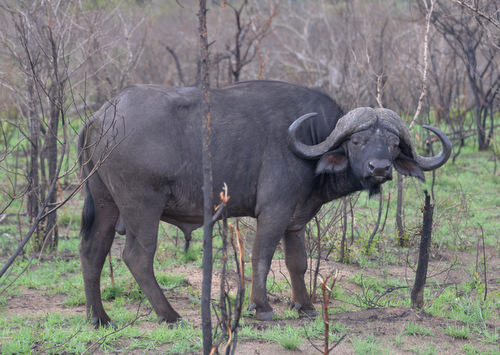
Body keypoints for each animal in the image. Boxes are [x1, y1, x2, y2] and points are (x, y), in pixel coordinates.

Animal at [79, 80, 454, 328]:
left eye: (393, 144)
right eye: (358, 140)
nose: (379, 169)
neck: (311, 142)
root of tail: (102, 116)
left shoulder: (296, 220)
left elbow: (297, 263)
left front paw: (305, 306)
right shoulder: (274, 211)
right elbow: (261, 257)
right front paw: (262, 307)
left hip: (105, 203)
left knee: (92, 252)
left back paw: (99, 317)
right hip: (142, 207)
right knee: (137, 257)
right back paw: (170, 315)